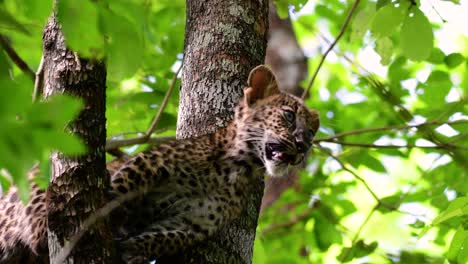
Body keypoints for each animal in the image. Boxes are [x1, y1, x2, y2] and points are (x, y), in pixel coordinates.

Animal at [0, 65, 318, 262]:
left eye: (312, 133)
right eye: (289, 116)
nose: (303, 146)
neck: (237, 167)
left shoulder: (193, 222)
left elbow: (165, 237)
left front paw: (134, 249)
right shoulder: (147, 165)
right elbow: (119, 189)